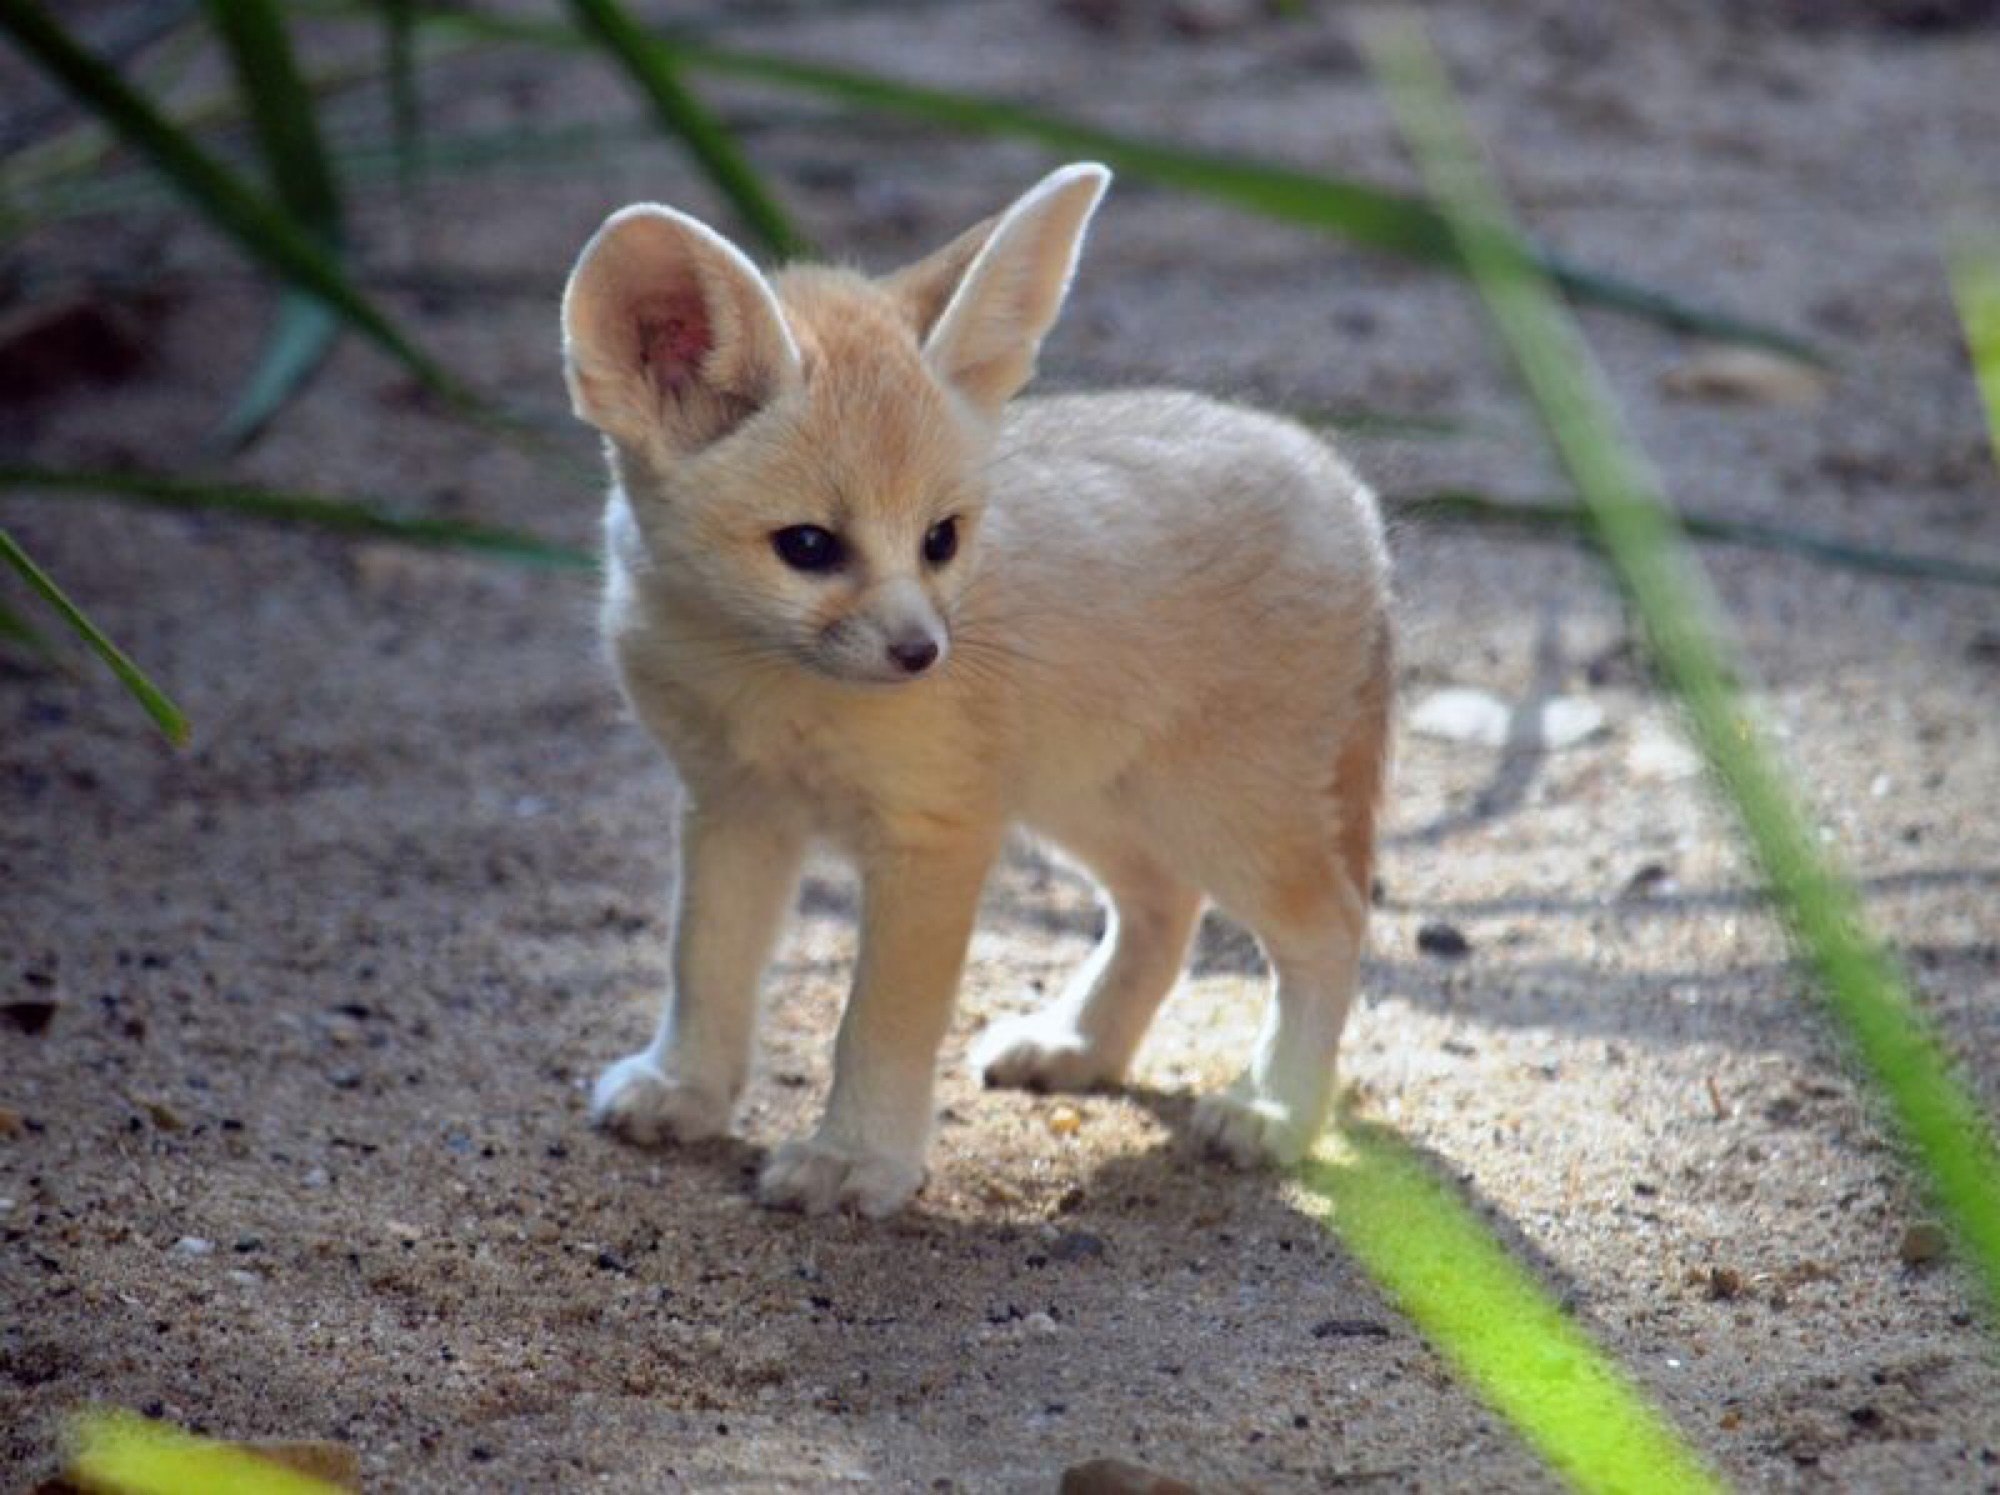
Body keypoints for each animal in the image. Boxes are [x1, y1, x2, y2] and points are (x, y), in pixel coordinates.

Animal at [564, 160, 1392, 1215]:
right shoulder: (731, 808)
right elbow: (704, 963)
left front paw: (855, 1158)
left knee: (1330, 927)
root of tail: (1342, 486)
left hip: (1220, 815)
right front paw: (686, 1088)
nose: (923, 653)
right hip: (1087, 801)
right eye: (808, 546)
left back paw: (1275, 1109)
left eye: (941, 538)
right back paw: (1080, 1044)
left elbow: (877, 1023)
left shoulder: (932, 839)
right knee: (1164, 908)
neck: (767, 689)